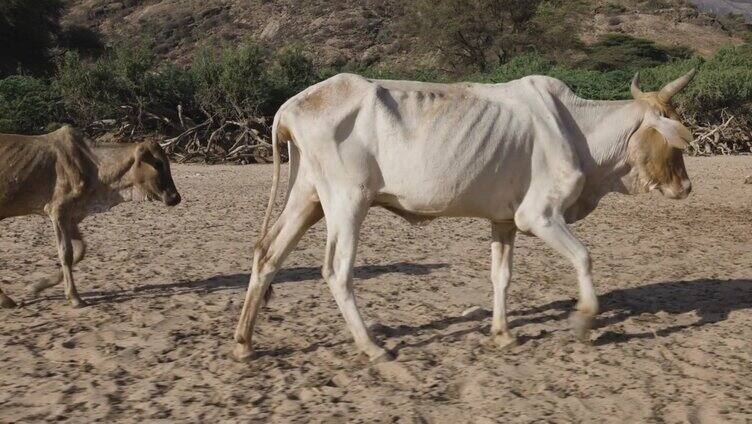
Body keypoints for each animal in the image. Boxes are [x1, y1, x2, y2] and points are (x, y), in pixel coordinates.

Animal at [232, 69, 696, 362]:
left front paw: (502, 333)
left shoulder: (504, 221)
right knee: (336, 271)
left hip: (308, 197)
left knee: (268, 253)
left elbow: (501, 276)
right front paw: (583, 322)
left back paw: (243, 343)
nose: (687, 188)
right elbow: (584, 257)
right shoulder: (539, 216)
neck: (579, 132)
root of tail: (292, 105)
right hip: (347, 201)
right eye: (674, 139)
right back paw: (372, 346)